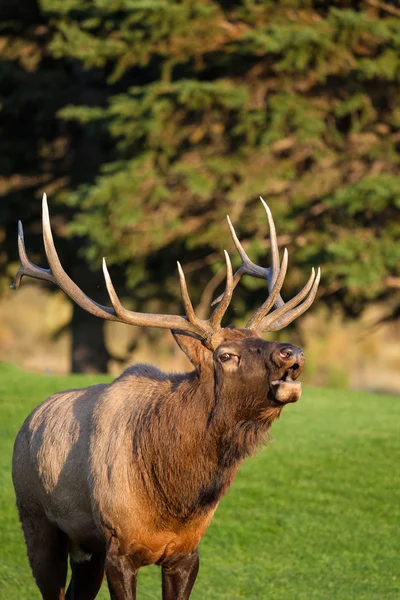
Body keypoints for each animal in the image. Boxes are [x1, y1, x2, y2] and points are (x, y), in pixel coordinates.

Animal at [10, 197, 320, 600]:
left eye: (262, 340)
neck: (174, 499)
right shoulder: (119, 548)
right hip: (36, 518)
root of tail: (27, 423)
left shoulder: (186, 551)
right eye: (226, 355)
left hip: (85, 546)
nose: (292, 352)